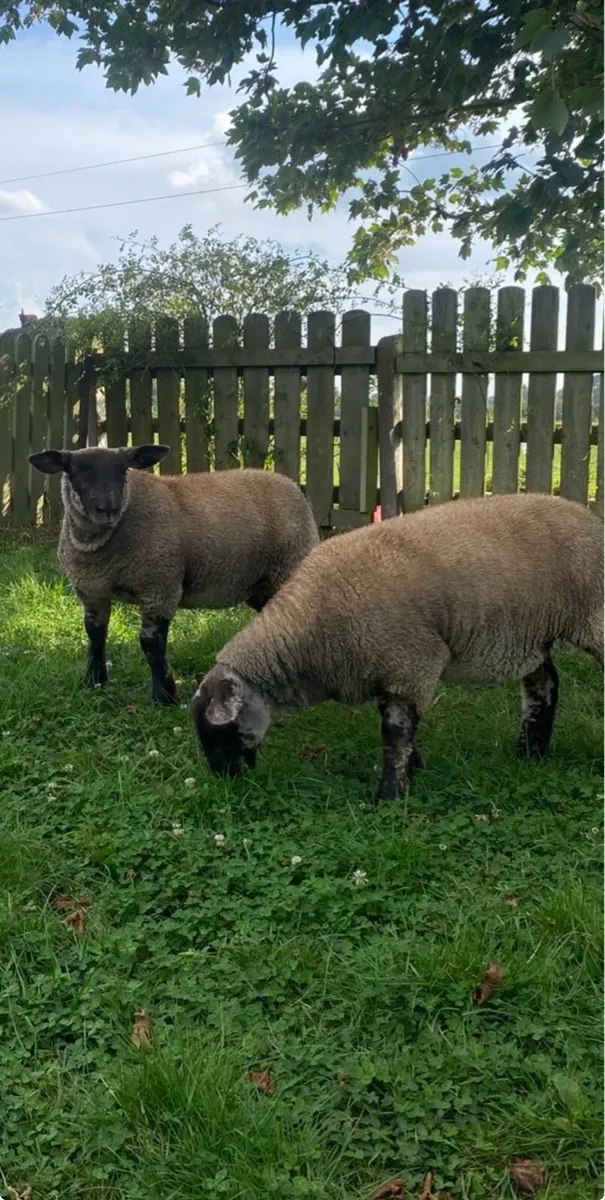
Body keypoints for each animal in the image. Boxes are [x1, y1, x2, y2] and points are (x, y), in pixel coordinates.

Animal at [29, 444, 319, 705]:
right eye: (76, 470)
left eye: (123, 471)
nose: (107, 509)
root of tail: (290, 484)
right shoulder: (91, 593)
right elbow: (95, 636)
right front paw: (94, 682)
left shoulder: (160, 587)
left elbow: (151, 643)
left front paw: (164, 697)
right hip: (261, 584)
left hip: (291, 563)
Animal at [190, 492, 603, 802]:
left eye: (222, 731)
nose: (227, 782)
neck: (309, 630)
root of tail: (587, 516)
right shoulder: (386, 668)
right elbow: (397, 727)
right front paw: (414, 768)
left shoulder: (411, 662)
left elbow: (394, 734)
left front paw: (390, 796)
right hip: (531, 632)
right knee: (543, 685)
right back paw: (530, 753)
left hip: (593, 616)